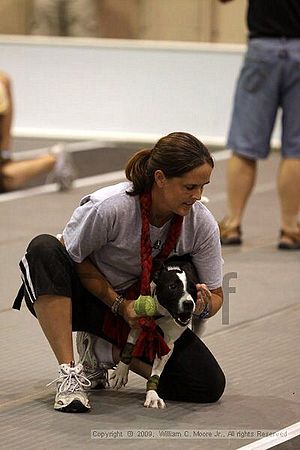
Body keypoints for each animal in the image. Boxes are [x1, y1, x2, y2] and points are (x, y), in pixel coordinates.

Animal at [109, 256, 202, 408]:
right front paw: (121, 371)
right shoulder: (136, 323)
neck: (161, 314)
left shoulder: (168, 344)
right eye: (172, 287)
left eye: (193, 289)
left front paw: (152, 395)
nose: (189, 303)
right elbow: (129, 347)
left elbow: (156, 371)